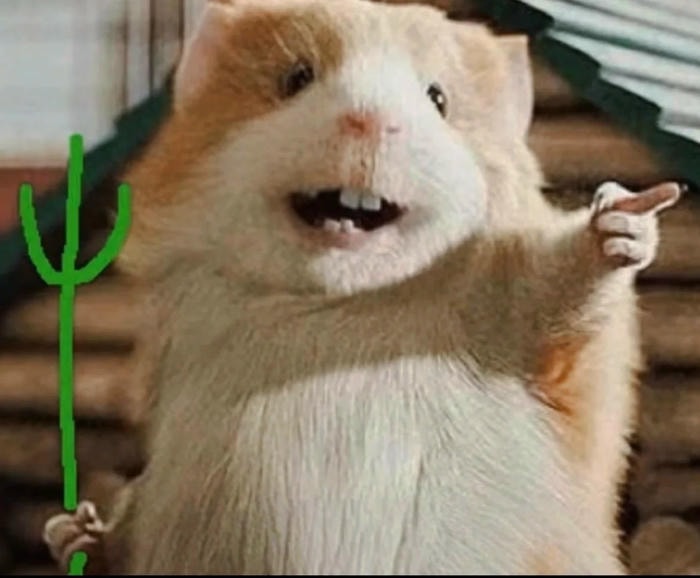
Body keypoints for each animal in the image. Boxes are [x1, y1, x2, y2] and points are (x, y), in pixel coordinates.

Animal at [43, 0, 681, 574]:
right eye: (296, 77)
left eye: (438, 98)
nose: (367, 121)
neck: (342, 306)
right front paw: (72, 530)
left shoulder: (524, 317)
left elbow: (567, 285)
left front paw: (625, 216)